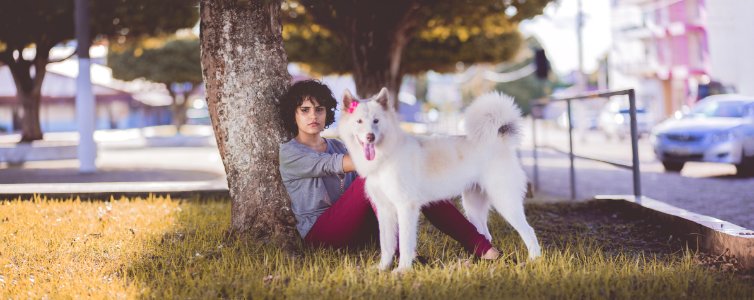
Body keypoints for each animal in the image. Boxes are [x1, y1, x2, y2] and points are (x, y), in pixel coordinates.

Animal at [336, 86, 540, 272]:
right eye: (359, 121)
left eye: (376, 121)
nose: (370, 136)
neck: (386, 156)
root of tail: (499, 140)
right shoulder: (385, 210)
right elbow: (386, 244)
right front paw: (382, 268)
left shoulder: (406, 208)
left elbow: (405, 243)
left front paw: (402, 271)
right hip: (473, 207)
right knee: (485, 234)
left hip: (505, 202)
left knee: (529, 231)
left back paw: (534, 260)